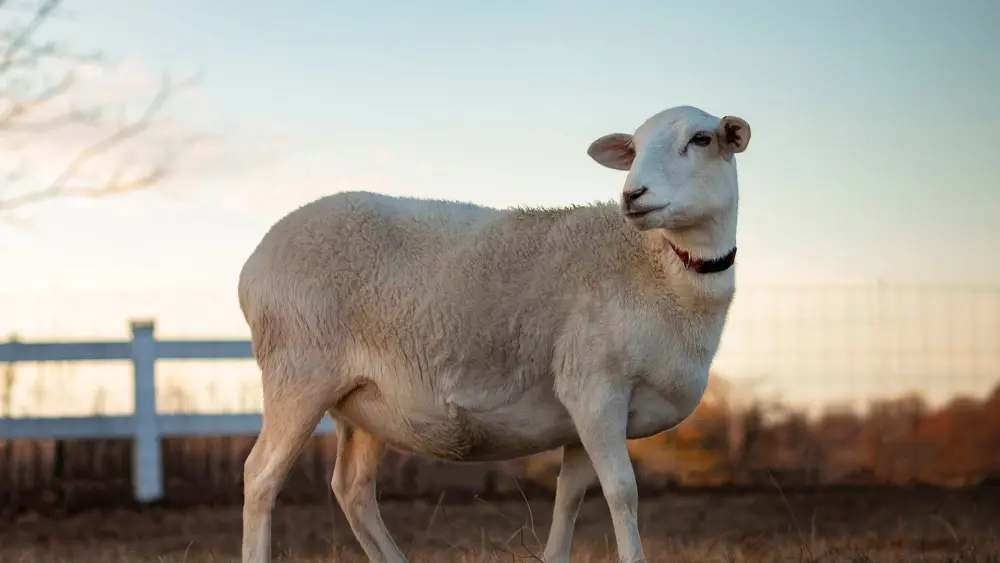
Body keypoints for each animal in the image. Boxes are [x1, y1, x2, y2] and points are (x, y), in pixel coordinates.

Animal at [237, 104, 751, 563]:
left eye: (701, 139)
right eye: (635, 148)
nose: (633, 195)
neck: (661, 267)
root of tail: (253, 264)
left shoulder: (590, 409)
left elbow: (570, 495)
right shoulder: (594, 384)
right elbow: (622, 491)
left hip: (362, 401)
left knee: (353, 490)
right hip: (298, 372)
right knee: (261, 477)